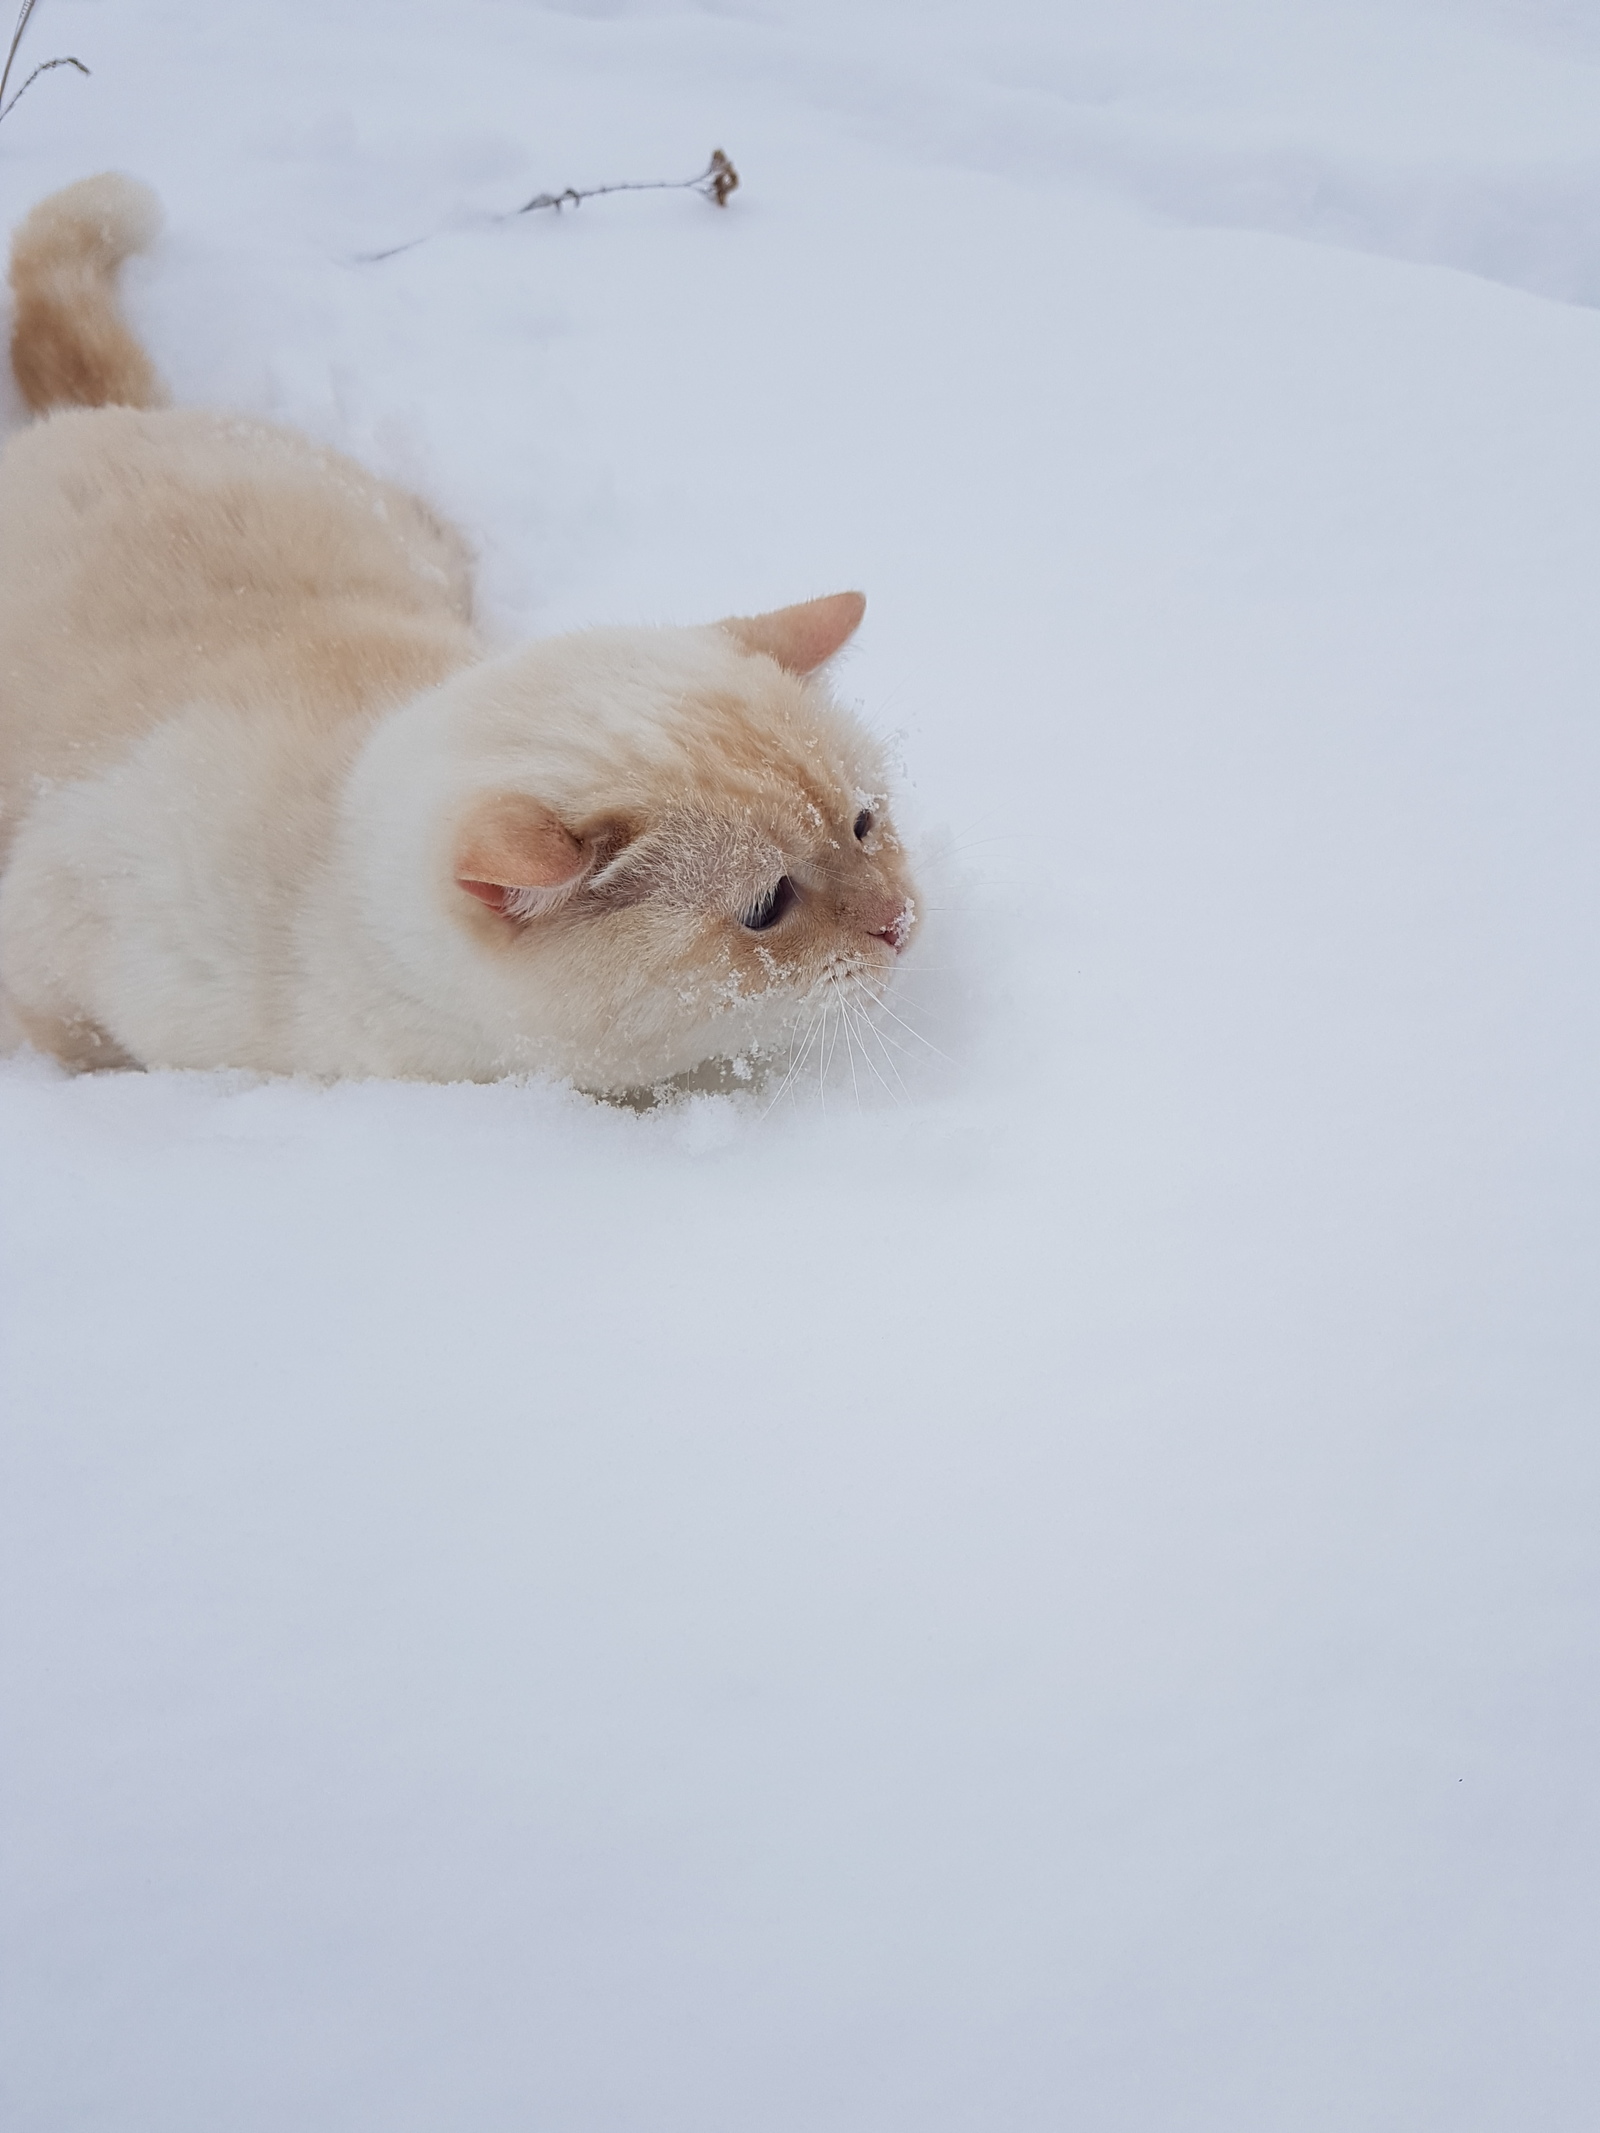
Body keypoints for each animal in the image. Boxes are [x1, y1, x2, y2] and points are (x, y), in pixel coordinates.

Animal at [0, 174, 921, 1092]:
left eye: (863, 825)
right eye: (767, 907)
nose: (903, 921)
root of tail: (100, 415)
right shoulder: (50, 951)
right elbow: (66, 1038)